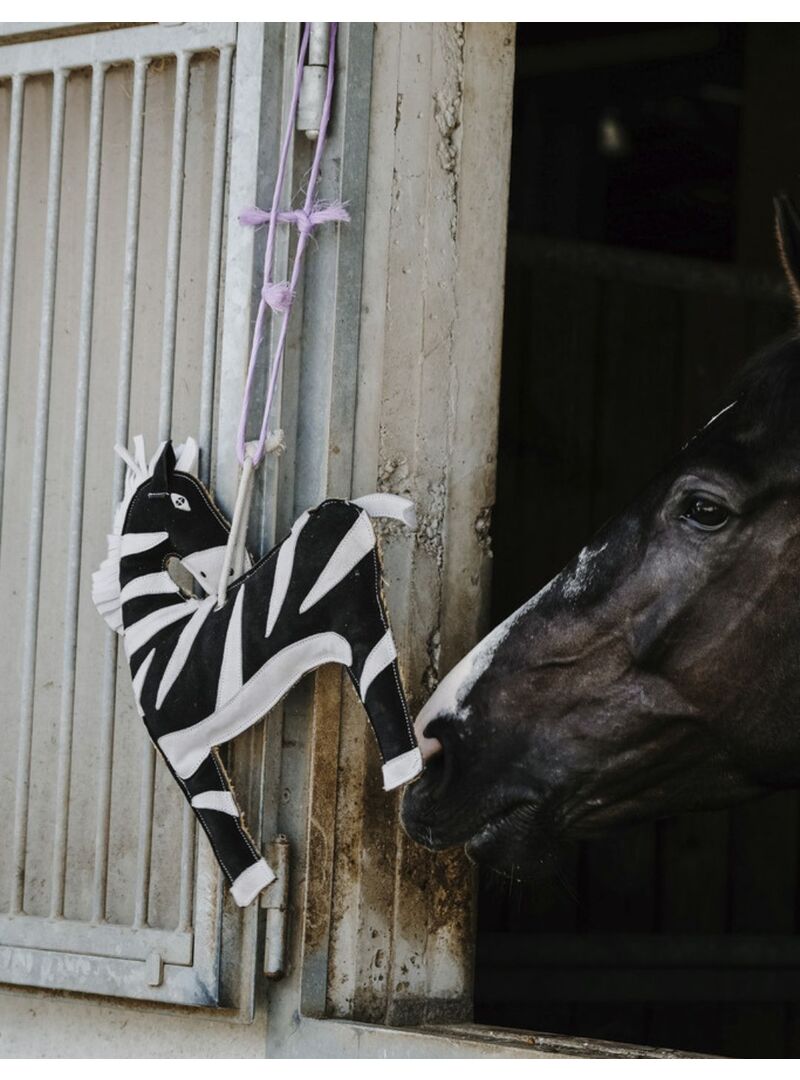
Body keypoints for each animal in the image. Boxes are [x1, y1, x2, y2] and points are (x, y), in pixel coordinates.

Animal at [91, 434, 421, 907]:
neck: (156, 626)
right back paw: (404, 771)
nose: (238, 566)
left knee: (382, 688)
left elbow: (216, 814)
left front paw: (253, 887)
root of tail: (347, 505)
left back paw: (403, 772)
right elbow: (220, 810)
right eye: (181, 500)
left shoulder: (177, 749)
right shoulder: (184, 747)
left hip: (357, 620)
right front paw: (257, 886)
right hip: (359, 624)